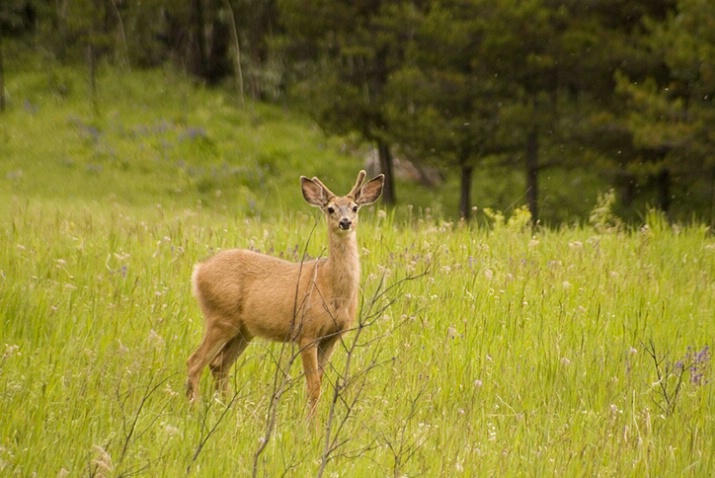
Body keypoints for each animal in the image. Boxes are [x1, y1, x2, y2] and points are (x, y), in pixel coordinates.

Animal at [186, 170, 386, 416]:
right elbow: (314, 386)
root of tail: (198, 270)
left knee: (218, 363)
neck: (330, 286)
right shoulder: (307, 332)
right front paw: (310, 424)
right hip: (220, 317)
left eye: (355, 207)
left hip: (244, 330)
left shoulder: (332, 337)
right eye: (330, 209)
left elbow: (320, 382)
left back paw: (225, 408)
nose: (345, 222)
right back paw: (195, 409)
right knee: (195, 362)